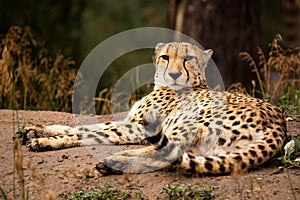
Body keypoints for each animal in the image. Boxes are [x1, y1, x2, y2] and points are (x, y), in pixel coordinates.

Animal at [22, 42, 286, 175]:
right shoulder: (131, 122)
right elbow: (84, 126)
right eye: (166, 57)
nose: (175, 74)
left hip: (191, 121)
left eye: (189, 59)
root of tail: (279, 123)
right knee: (176, 155)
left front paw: (44, 142)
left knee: (169, 153)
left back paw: (115, 160)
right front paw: (38, 130)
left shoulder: (139, 127)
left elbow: (91, 133)